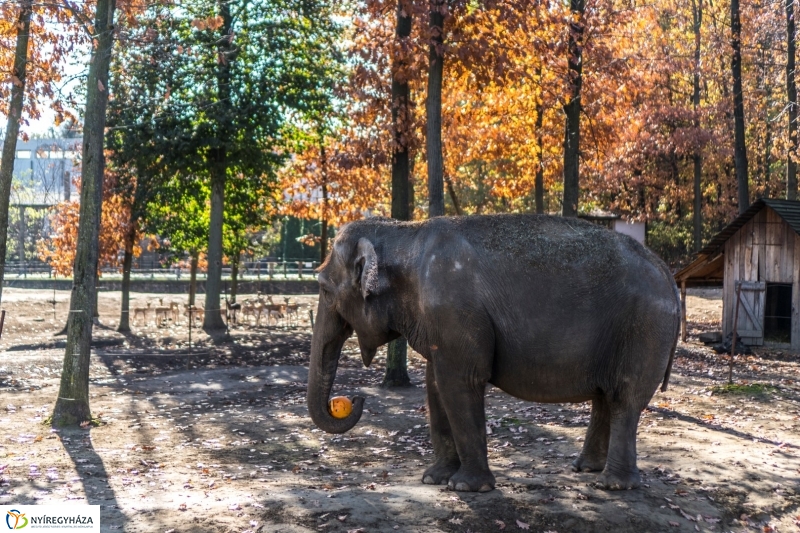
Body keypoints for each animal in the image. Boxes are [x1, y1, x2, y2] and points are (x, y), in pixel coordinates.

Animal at [306, 212, 680, 490]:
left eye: (323, 290)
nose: (354, 398)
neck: (405, 232)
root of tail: (668, 273)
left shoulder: (454, 311)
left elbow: (460, 382)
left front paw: (466, 487)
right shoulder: (441, 322)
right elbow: (435, 384)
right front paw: (434, 478)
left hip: (644, 328)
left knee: (625, 398)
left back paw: (613, 484)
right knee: (606, 396)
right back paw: (585, 468)